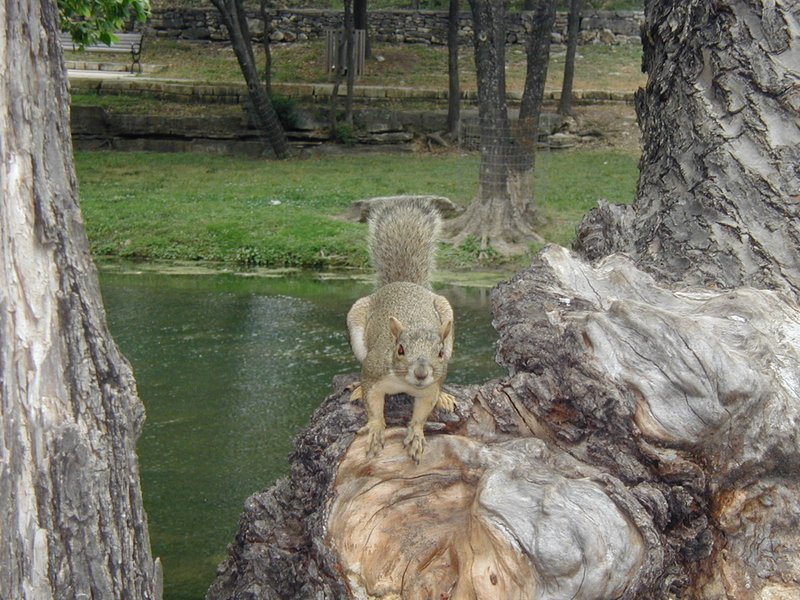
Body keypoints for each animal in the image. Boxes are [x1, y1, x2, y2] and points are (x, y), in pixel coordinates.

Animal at [347, 198, 455, 463]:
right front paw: (376, 429)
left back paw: (445, 396)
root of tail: (402, 283)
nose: (421, 373)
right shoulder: (374, 370)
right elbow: (373, 405)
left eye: (439, 353)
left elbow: (422, 412)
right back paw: (356, 390)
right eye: (400, 349)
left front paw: (416, 433)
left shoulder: (429, 389)